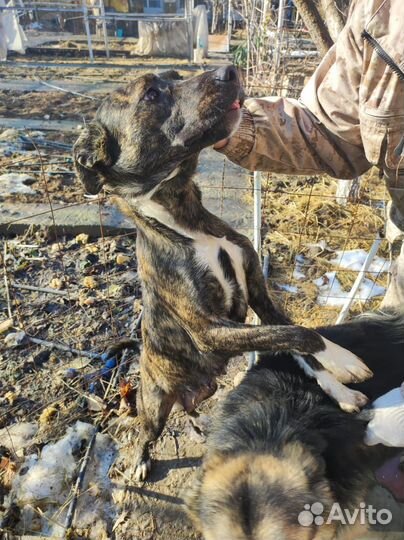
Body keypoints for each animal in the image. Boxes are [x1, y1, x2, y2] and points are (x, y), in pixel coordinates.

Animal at [73, 65, 372, 478]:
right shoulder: (209, 331)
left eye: (175, 75)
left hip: (202, 389)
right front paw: (344, 358)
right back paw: (140, 461)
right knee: (146, 432)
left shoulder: (261, 299)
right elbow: (300, 334)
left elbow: (297, 341)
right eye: (150, 94)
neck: (189, 221)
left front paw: (339, 388)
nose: (228, 70)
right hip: (154, 407)